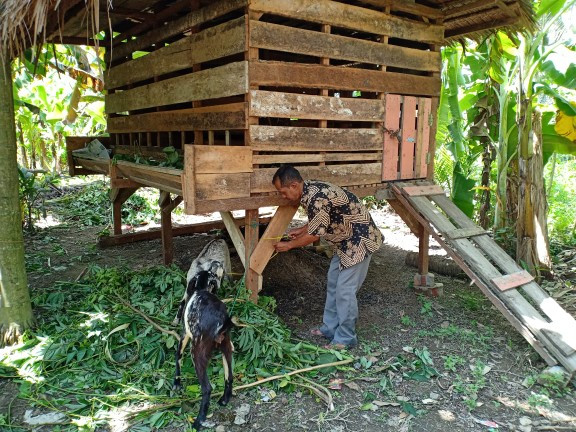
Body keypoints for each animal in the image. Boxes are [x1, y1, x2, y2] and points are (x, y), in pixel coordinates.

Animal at [172, 240, 233, 428]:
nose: (217, 264)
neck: (201, 289)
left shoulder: (184, 336)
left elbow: (177, 359)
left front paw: (176, 383)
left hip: (197, 354)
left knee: (207, 388)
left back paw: (199, 420)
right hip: (227, 350)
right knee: (229, 377)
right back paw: (224, 400)